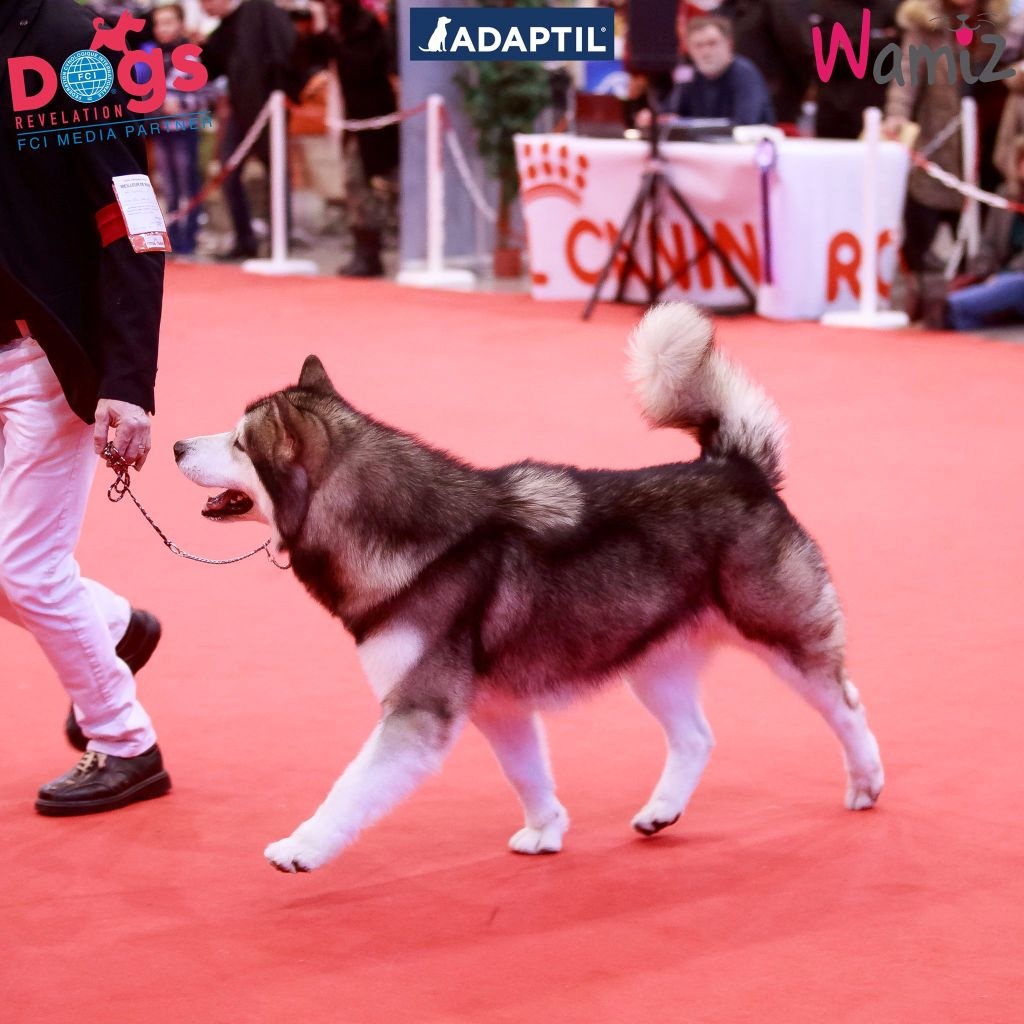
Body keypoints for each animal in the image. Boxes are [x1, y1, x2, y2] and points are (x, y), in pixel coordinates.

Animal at [174, 301, 880, 872]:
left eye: (238, 444)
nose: (177, 445)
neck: (406, 535)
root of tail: (737, 468)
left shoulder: (418, 713)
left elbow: (349, 787)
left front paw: (303, 846)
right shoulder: (500, 707)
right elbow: (526, 773)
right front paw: (547, 829)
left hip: (782, 635)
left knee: (846, 703)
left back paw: (866, 782)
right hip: (651, 658)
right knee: (696, 737)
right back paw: (662, 810)